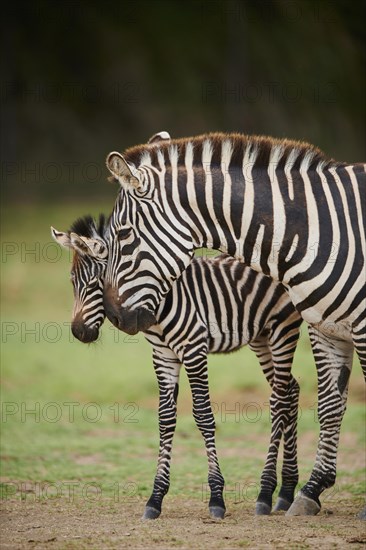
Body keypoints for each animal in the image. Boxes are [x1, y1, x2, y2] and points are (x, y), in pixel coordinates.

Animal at [52, 217, 304, 520]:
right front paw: (155, 499)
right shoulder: (163, 355)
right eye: (72, 282)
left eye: (97, 283)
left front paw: (216, 498)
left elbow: (203, 416)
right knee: (291, 390)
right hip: (261, 337)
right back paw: (286, 492)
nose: (79, 333)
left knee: (279, 401)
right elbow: (165, 419)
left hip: (283, 329)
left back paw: (266, 493)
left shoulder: (194, 349)